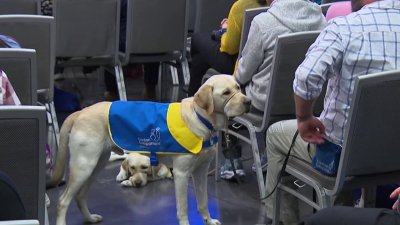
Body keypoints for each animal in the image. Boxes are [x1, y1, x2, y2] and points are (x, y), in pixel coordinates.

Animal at [48, 75, 250, 225]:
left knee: (80, 196)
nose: (248, 102)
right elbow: (183, 210)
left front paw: (208, 221)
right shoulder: (181, 174)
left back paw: (90, 218)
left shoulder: (200, 172)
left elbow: (203, 202)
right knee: (63, 201)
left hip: (95, 165)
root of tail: (80, 112)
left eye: (238, 87)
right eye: (226, 92)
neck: (201, 119)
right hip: (83, 167)